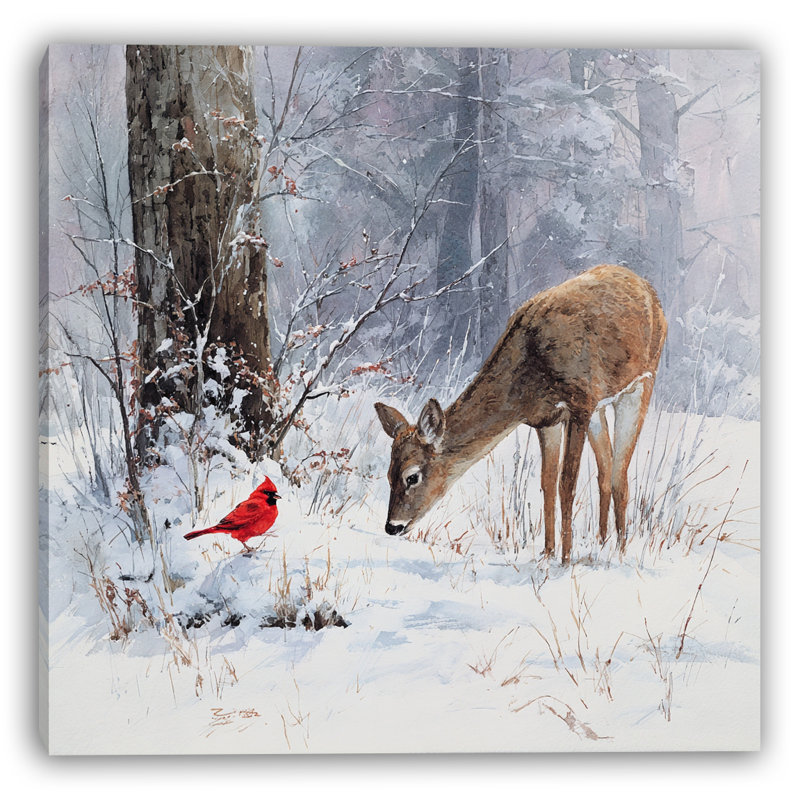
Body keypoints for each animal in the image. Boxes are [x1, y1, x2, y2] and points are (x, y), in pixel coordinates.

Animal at [374, 264, 667, 565]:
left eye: (412, 476)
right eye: (388, 473)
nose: (392, 526)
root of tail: (642, 283)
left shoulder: (580, 403)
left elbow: (567, 484)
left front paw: (565, 559)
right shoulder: (547, 420)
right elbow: (548, 482)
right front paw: (547, 553)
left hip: (641, 382)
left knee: (620, 472)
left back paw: (619, 551)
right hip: (601, 407)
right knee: (606, 468)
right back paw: (602, 543)